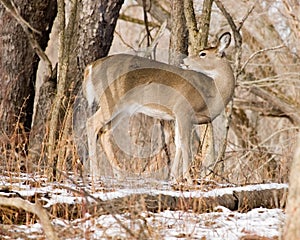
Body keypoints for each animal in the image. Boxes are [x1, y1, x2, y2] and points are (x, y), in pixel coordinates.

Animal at [83, 32, 236, 182]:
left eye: (203, 53)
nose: (184, 61)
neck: (213, 93)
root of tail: (91, 66)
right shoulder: (183, 110)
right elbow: (185, 143)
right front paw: (188, 179)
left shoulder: (178, 116)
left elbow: (178, 142)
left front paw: (174, 177)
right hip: (110, 99)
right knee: (91, 123)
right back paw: (96, 175)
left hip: (122, 109)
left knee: (105, 132)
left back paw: (119, 175)